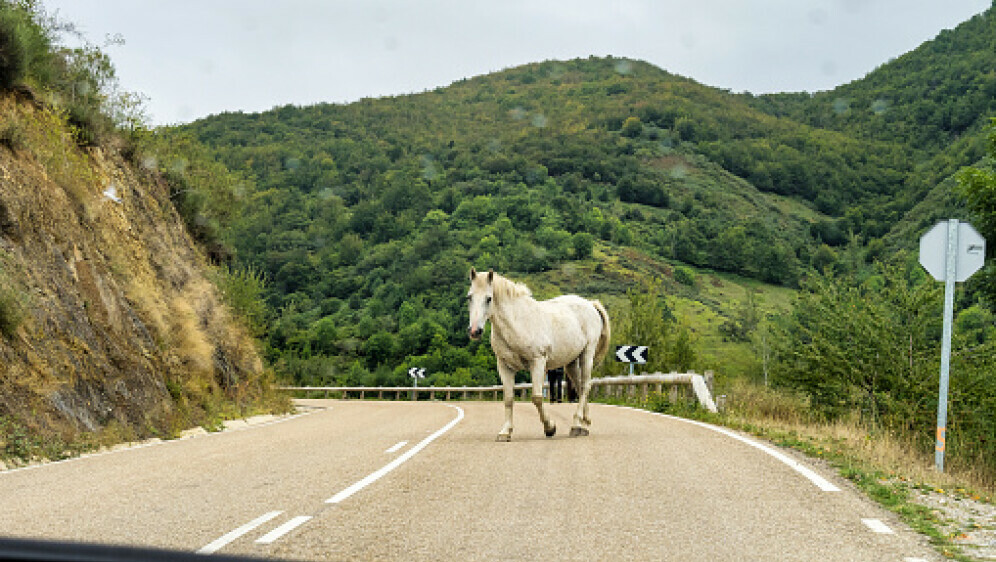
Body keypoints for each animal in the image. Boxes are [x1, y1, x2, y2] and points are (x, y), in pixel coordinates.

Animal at [464, 264, 608, 440]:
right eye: (469, 297)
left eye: (489, 298)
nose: (474, 331)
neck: (517, 322)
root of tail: (590, 304)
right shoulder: (504, 367)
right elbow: (508, 399)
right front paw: (505, 432)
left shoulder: (538, 362)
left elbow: (537, 398)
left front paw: (550, 428)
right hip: (571, 362)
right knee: (580, 387)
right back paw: (584, 425)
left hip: (587, 354)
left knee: (586, 385)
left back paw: (575, 425)